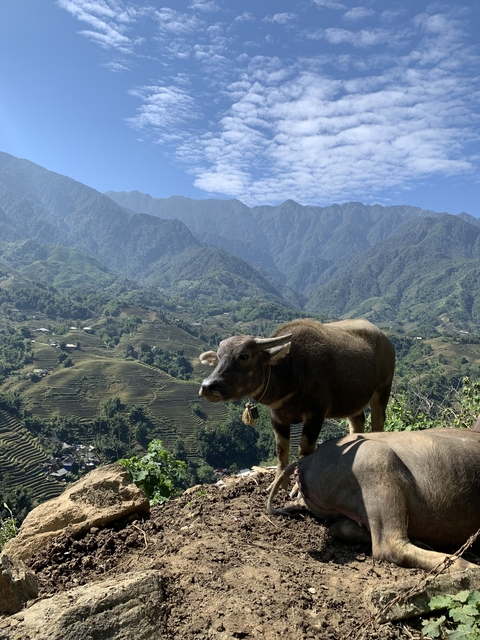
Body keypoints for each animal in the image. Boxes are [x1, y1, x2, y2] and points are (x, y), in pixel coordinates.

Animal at [199, 318, 395, 481]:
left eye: (244, 356)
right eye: (218, 358)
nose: (208, 386)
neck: (290, 372)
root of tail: (385, 339)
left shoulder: (316, 414)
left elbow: (305, 449)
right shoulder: (277, 418)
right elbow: (281, 451)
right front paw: (278, 483)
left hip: (382, 390)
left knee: (378, 422)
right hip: (353, 400)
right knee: (357, 422)